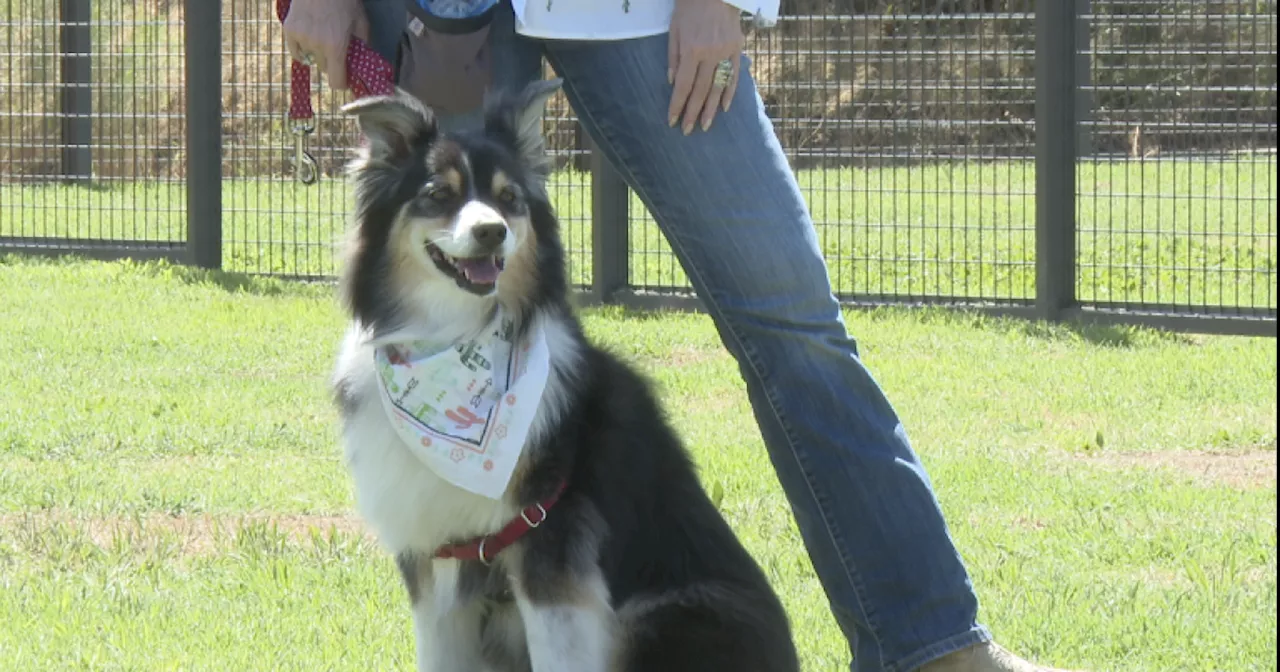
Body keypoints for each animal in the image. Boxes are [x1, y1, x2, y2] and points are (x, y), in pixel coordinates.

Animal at [327, 80, 798, 670]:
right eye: (439, 195)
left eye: (509, 199)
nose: (491, 232)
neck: (455, 340)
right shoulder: (434, 553)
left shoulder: (551, 543)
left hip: (667, 611)